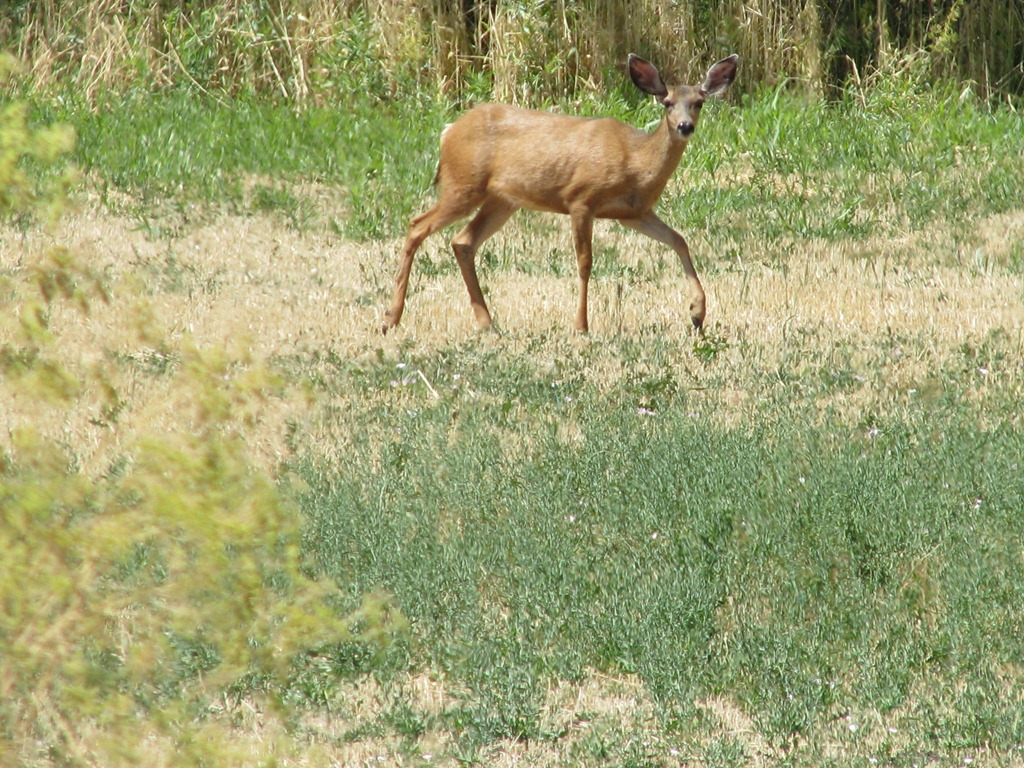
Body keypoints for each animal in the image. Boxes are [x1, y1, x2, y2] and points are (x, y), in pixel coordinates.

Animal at [382, 51, 737, 333]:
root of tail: (448, 132)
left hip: (502, 200)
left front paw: (697, 314)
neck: (635, 162)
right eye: (667, 103)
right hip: (463, 184)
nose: (685, 127)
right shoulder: (581, 199)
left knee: (462, 241)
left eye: (698, 103)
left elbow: (679, 240)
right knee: (417, 225)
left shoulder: (634, 213)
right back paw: (391, 319)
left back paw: (487, 323)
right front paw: (581, 325)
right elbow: (585, 263)